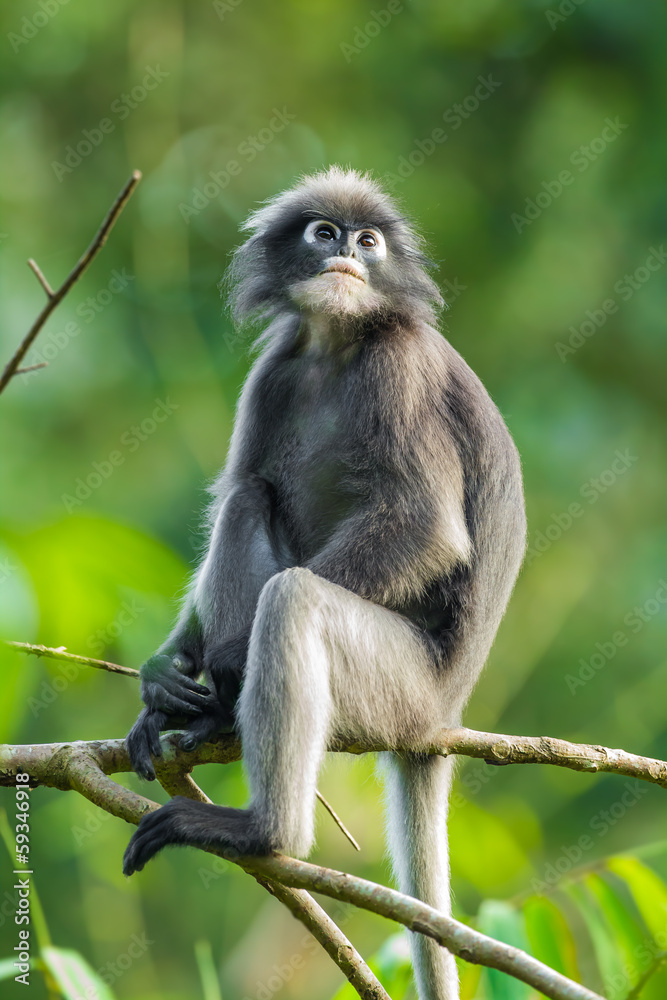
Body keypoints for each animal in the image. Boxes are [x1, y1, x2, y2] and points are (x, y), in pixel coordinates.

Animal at [121, 166, 528, 1000]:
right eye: (324, 233)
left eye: (368, 241)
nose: (346, 252)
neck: (340, 345)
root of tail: (444, 716)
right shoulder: (275, 368)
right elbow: (240, 483)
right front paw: (165, 675)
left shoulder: (399, 365)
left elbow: (425, 528)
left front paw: (228, 665)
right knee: (249, 495)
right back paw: (206, 713)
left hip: (398, 689)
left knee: (294, 598)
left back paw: (263, 826)